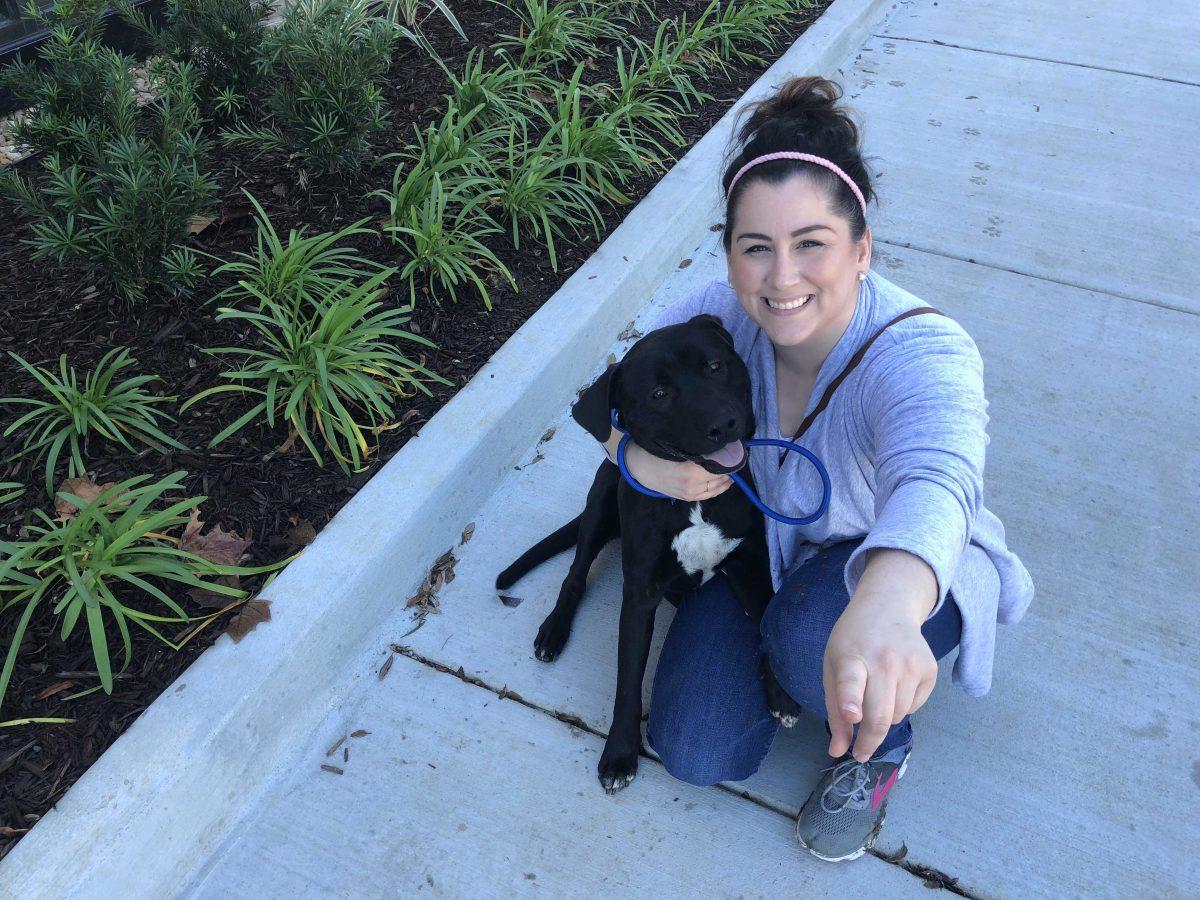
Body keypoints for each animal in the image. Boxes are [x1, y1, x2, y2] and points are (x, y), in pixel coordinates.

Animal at [492, 314, 801, 792]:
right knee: (575, 573)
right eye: (659, 394)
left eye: (715, 365)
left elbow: (769, 621)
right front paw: (619, 752)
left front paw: (781, 692)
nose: (726, 423)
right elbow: (627, 680)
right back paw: (554, 629)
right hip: (602, 496)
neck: (694, 500)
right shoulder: (640, 596)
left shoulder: (749, 565)